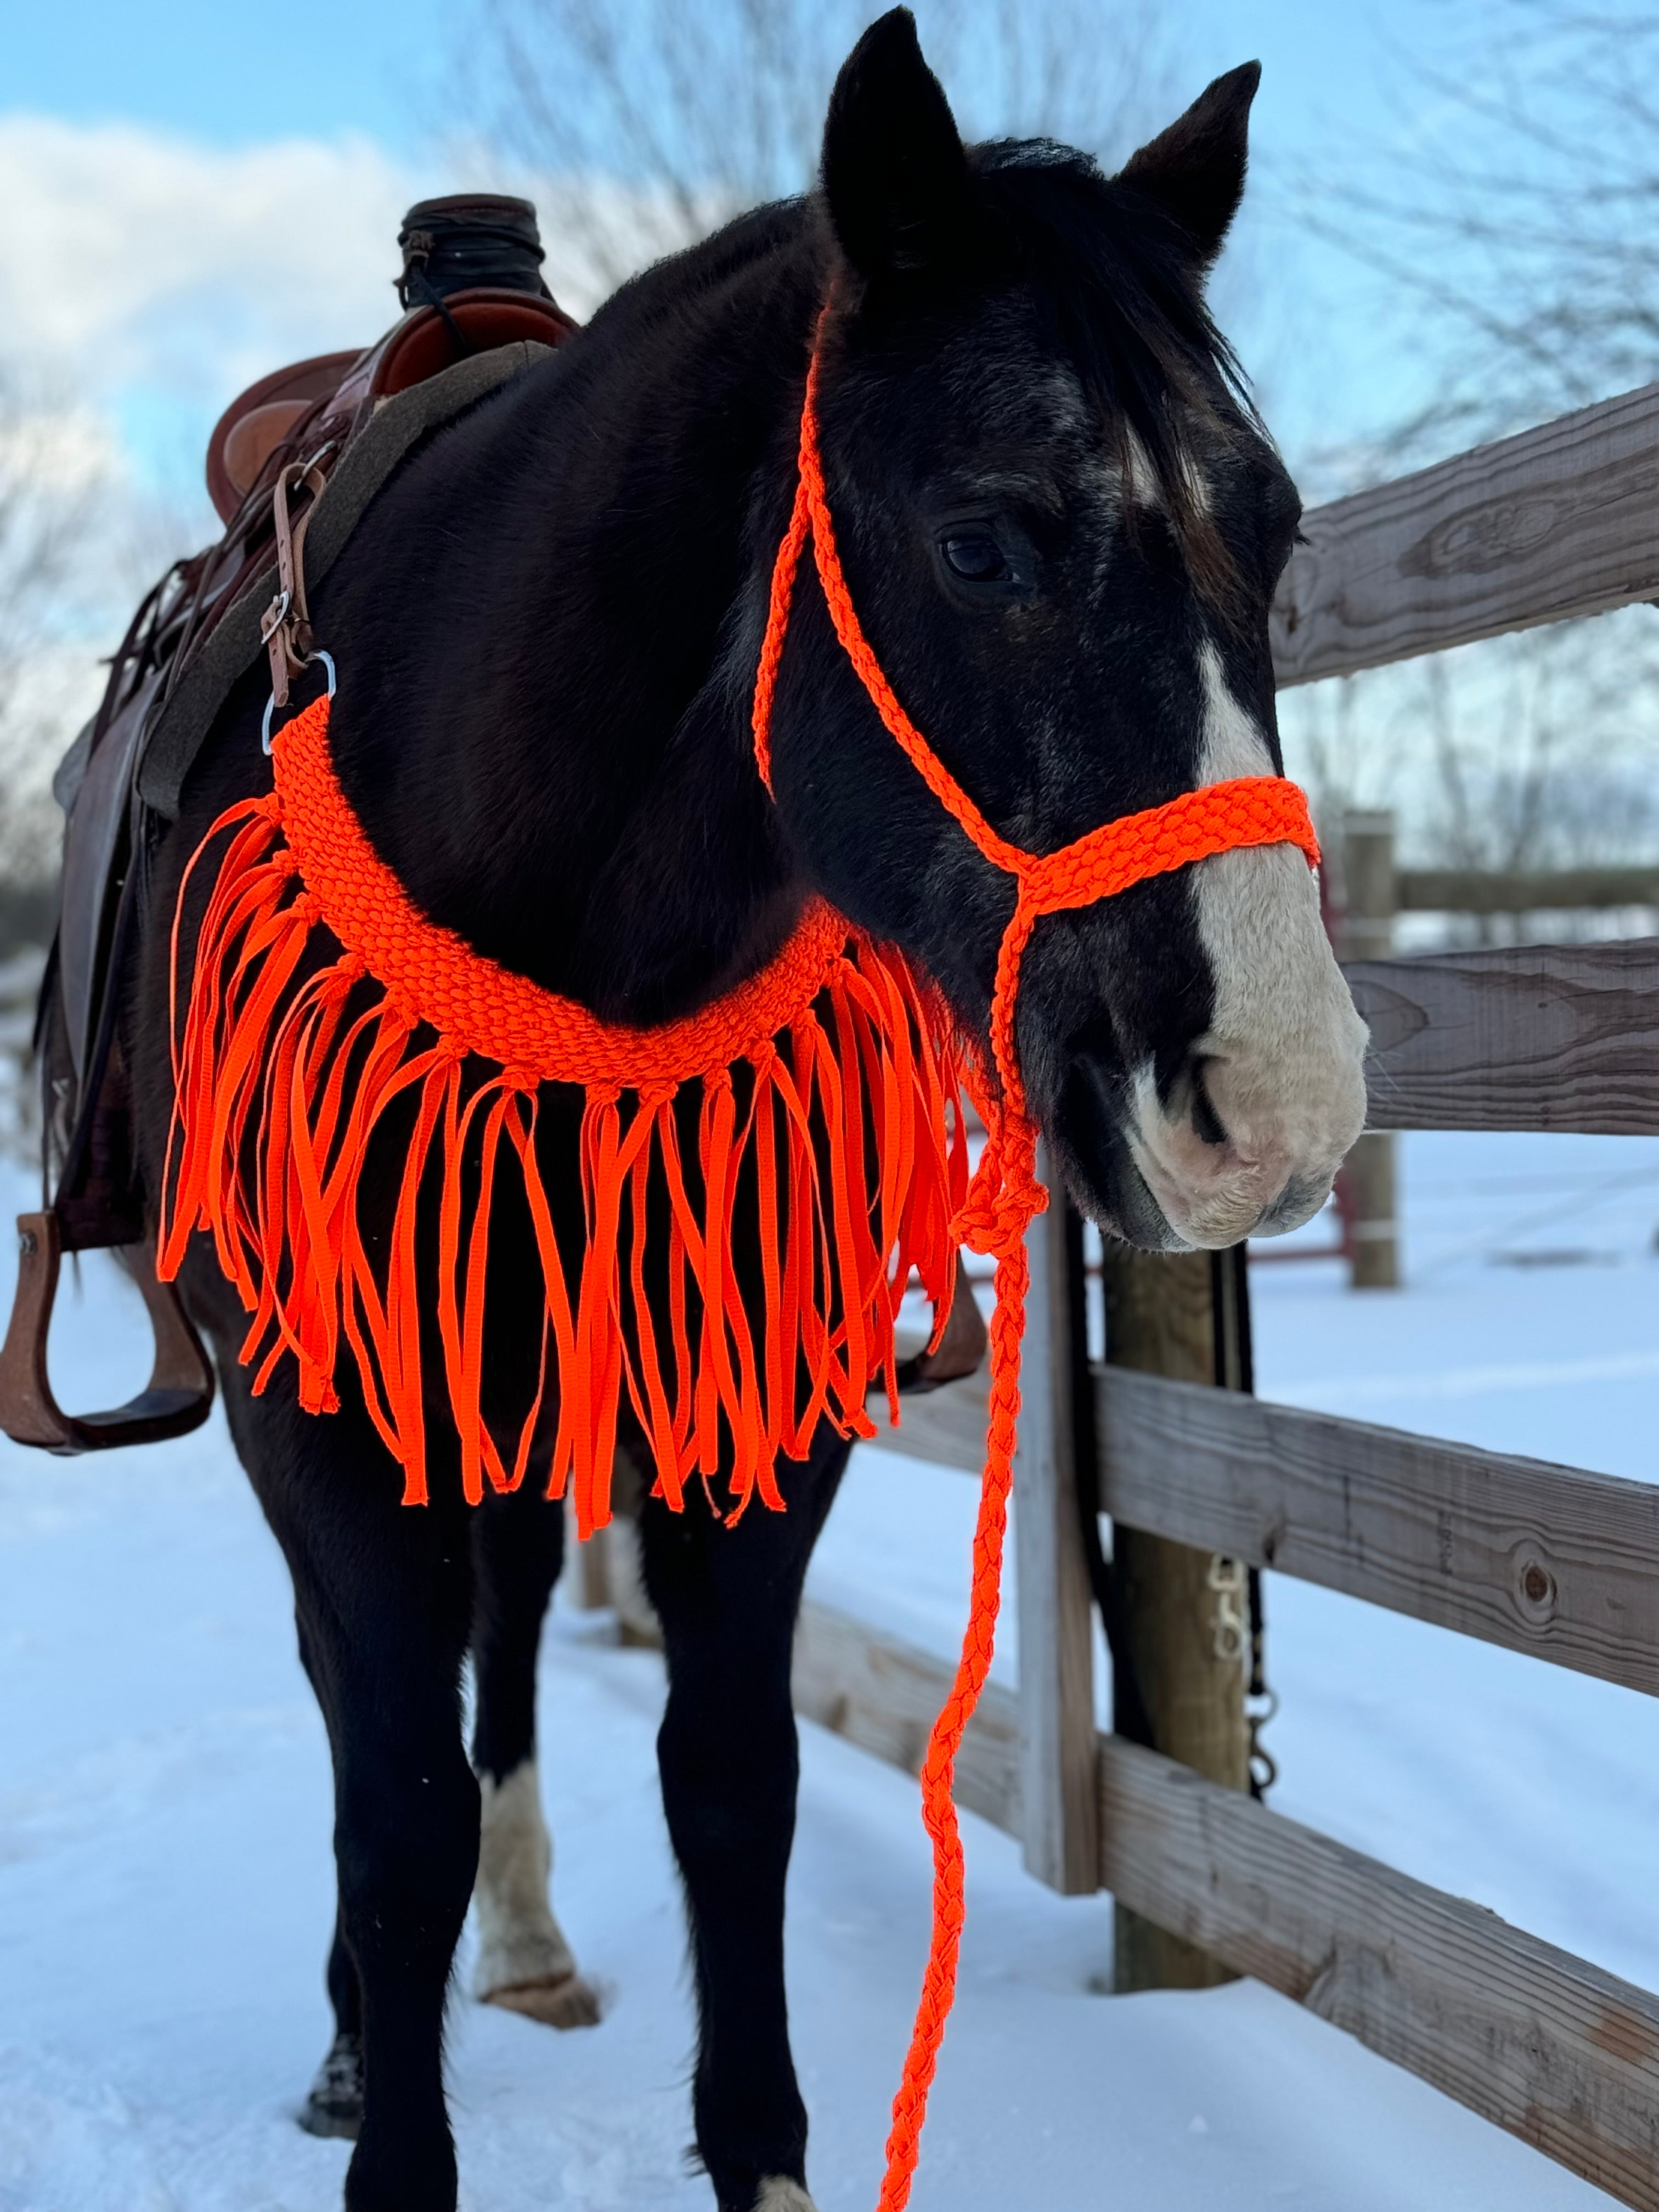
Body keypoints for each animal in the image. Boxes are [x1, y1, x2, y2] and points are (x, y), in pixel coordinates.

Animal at [123, 17, 1362, 2212]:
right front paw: (391, 2107)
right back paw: (371, 2029)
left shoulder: (747, 1403)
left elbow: (728, 1778)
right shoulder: (321, 1404)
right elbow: (392, 1792)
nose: (1275, 1106)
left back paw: (522, 1944)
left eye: (1278, 531)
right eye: (980, 540)